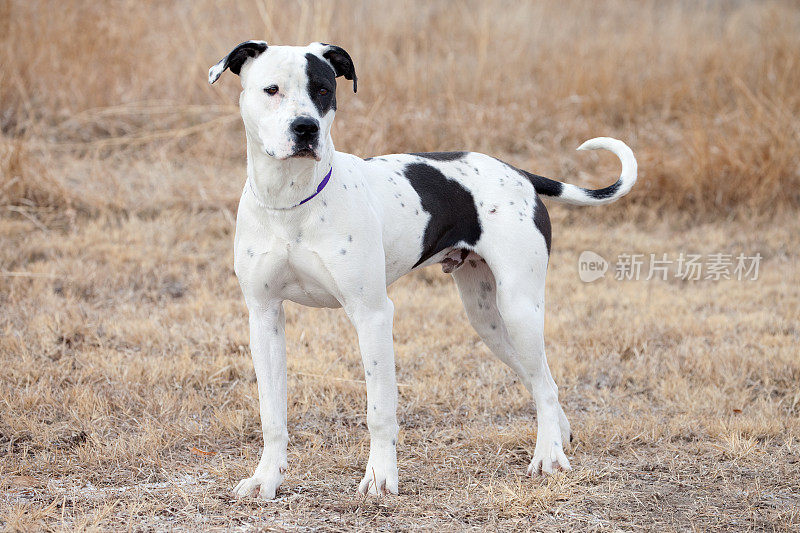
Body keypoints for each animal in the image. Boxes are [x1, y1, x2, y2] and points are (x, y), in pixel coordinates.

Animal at [208, 39, 636, 496]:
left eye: (323, 90)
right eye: (271, 90)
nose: (305, 128)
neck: (290, 201)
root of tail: (518, 173)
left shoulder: (373, 315)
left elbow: (379, 410)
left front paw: (380, 477)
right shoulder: (264, 317)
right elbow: (272, 414)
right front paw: (266, 479)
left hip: (519, 308)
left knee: (544, 383)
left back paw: (548, 456)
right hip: (488, 319)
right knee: (542, 380)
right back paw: (559, 436)